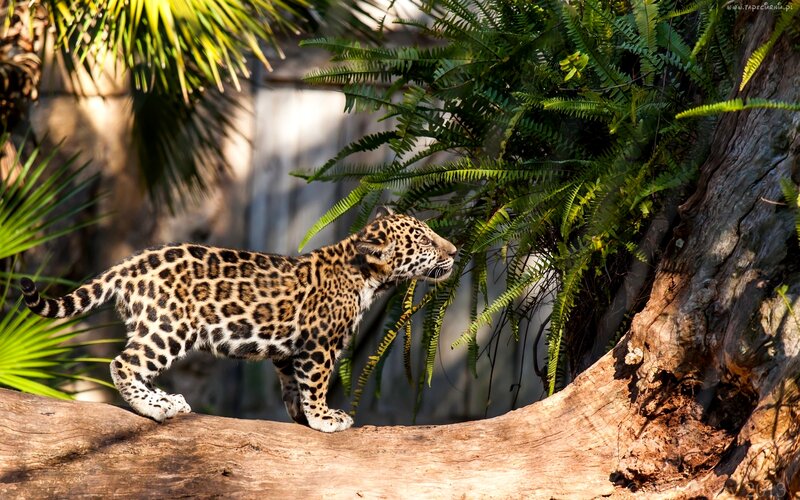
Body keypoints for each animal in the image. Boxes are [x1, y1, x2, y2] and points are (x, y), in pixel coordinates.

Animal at [20, 209, 457, 432]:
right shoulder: (319, 345)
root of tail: (130, 264)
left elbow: (291, 384)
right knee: (123, 363)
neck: (367, 276)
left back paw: (167, 399)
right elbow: (315, 384)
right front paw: (324, 417)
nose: (454, 250)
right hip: (169, 327)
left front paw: (301, 416)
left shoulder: (289, 351)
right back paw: (157, 408)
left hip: (149, 324)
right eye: (424, 240)